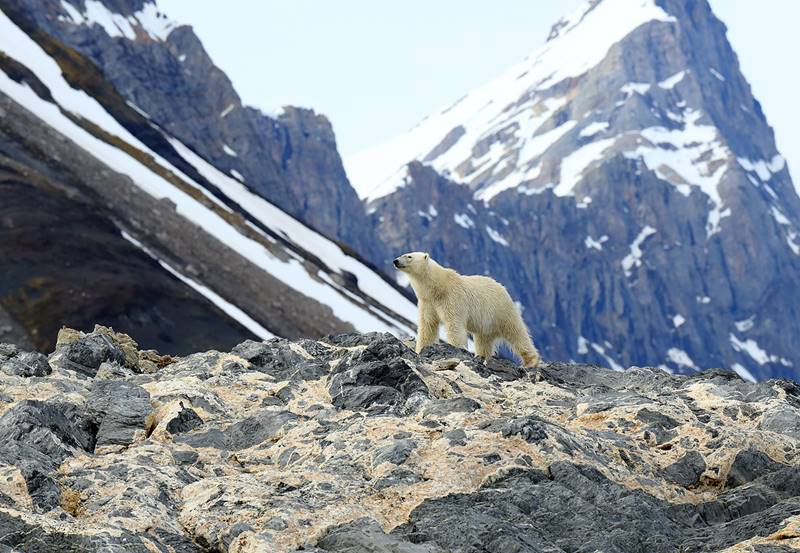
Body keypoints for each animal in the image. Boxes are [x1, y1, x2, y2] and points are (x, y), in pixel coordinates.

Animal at [392, 251, 540, 366]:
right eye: (404, 253)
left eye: (409, 256)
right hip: (485, 325)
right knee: (483, 341)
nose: (395, 261)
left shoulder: (452, 299)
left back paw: (530, 361)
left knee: (516, 333)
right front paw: (421, 349)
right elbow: (428, 325)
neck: (438, 287)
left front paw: (456, 349)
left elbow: (454, 325)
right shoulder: (428, 302)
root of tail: (503, 288)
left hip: (501, 311)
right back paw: (482, 356)